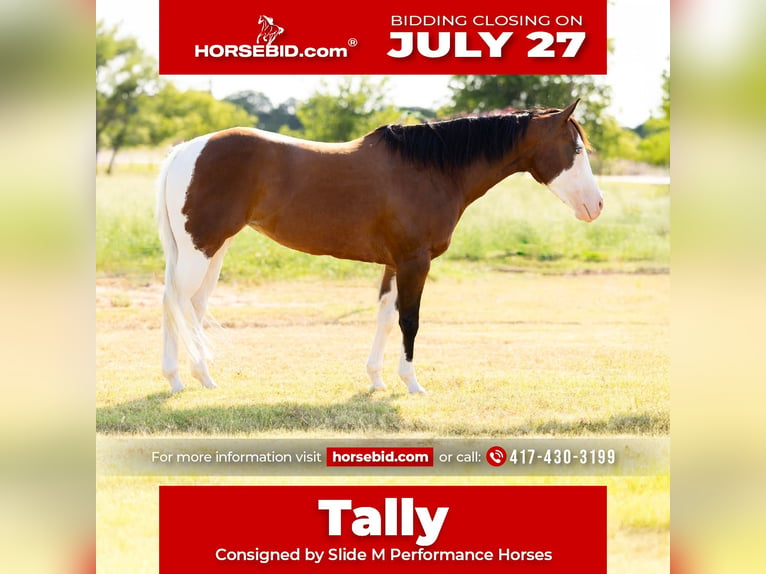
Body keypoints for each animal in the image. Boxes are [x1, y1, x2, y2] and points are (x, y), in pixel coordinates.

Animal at [156, 99, 603, 394]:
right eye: (576, 149)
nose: (596, 205)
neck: (431, 169)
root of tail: (184, 150)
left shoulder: (395, 264)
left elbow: (386, 318)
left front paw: (376, 379)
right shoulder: (415, 262)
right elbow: (410, 321)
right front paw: (412, 384)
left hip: (212, 250)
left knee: (186, 305)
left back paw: (180, 378)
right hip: (201, 249)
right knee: (178, 302)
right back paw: (199, 375)